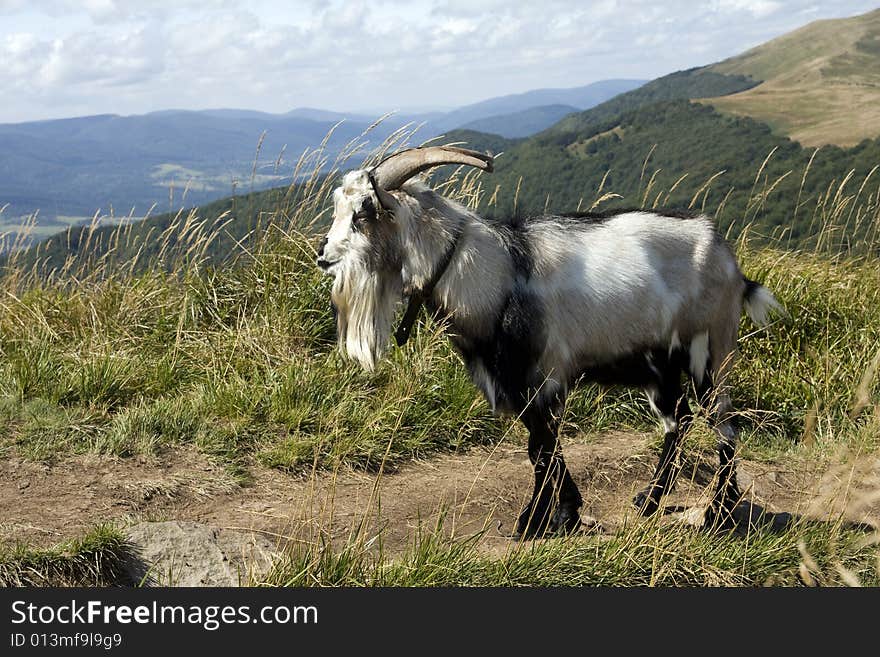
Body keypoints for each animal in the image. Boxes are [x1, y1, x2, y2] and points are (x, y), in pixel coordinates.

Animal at [314, 146, 776, 536]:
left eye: (363, 213)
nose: (323, 257)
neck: (493, 274)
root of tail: (729, 262)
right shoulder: (516, 382)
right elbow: (543, 447)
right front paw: (563, 513)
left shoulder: (541, 376)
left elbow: (540, 449)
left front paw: (534, 520)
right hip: (658, 366)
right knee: (678, 421)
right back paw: (651, 499)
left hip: (710, 350)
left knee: (724, 423)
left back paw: (719, 510)